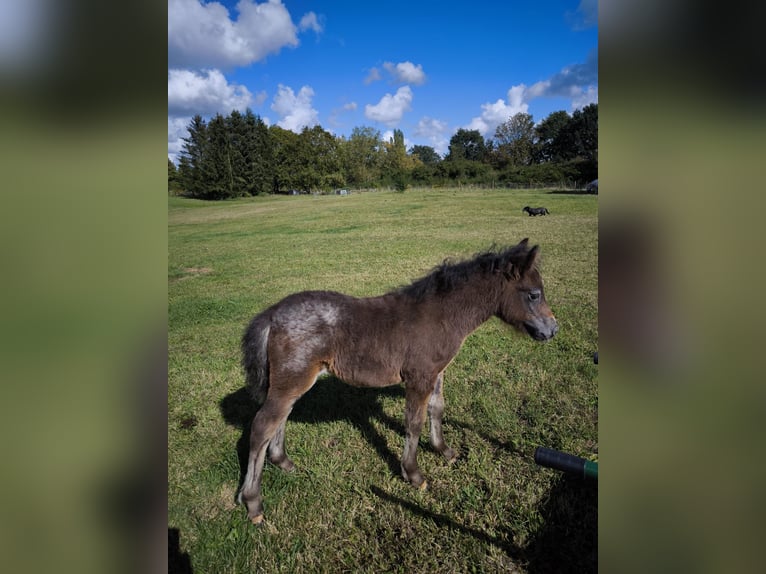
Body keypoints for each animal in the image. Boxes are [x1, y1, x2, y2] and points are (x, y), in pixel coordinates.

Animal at [236, 240, 560, 528]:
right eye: (533, 294)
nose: (553, 329)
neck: (441, 316)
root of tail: (272, 314)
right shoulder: (419, 378)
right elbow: (414, 423)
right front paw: (414, 474)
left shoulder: (436, 373)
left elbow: (437, 409)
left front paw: (444, 451)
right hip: (292, 380)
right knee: (262, 426)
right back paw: (253, 502)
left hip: (291, 383)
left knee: (280, 419)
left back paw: (283, 462)